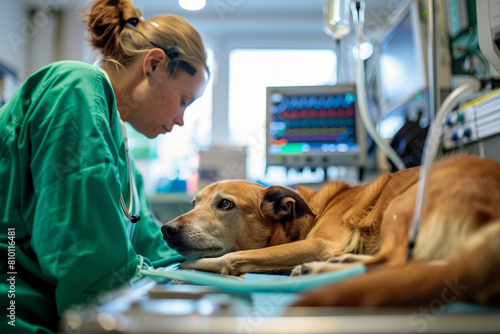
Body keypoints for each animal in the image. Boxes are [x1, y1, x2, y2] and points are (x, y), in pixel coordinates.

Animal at [162, 155, 500, 306]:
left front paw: (190, 266)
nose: (167, 229)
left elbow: (233, 257)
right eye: (194, 202)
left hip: (403, 203)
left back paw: (321, 269)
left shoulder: (320, 243)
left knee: (394, 261)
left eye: (225, 204)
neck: (307, 216)